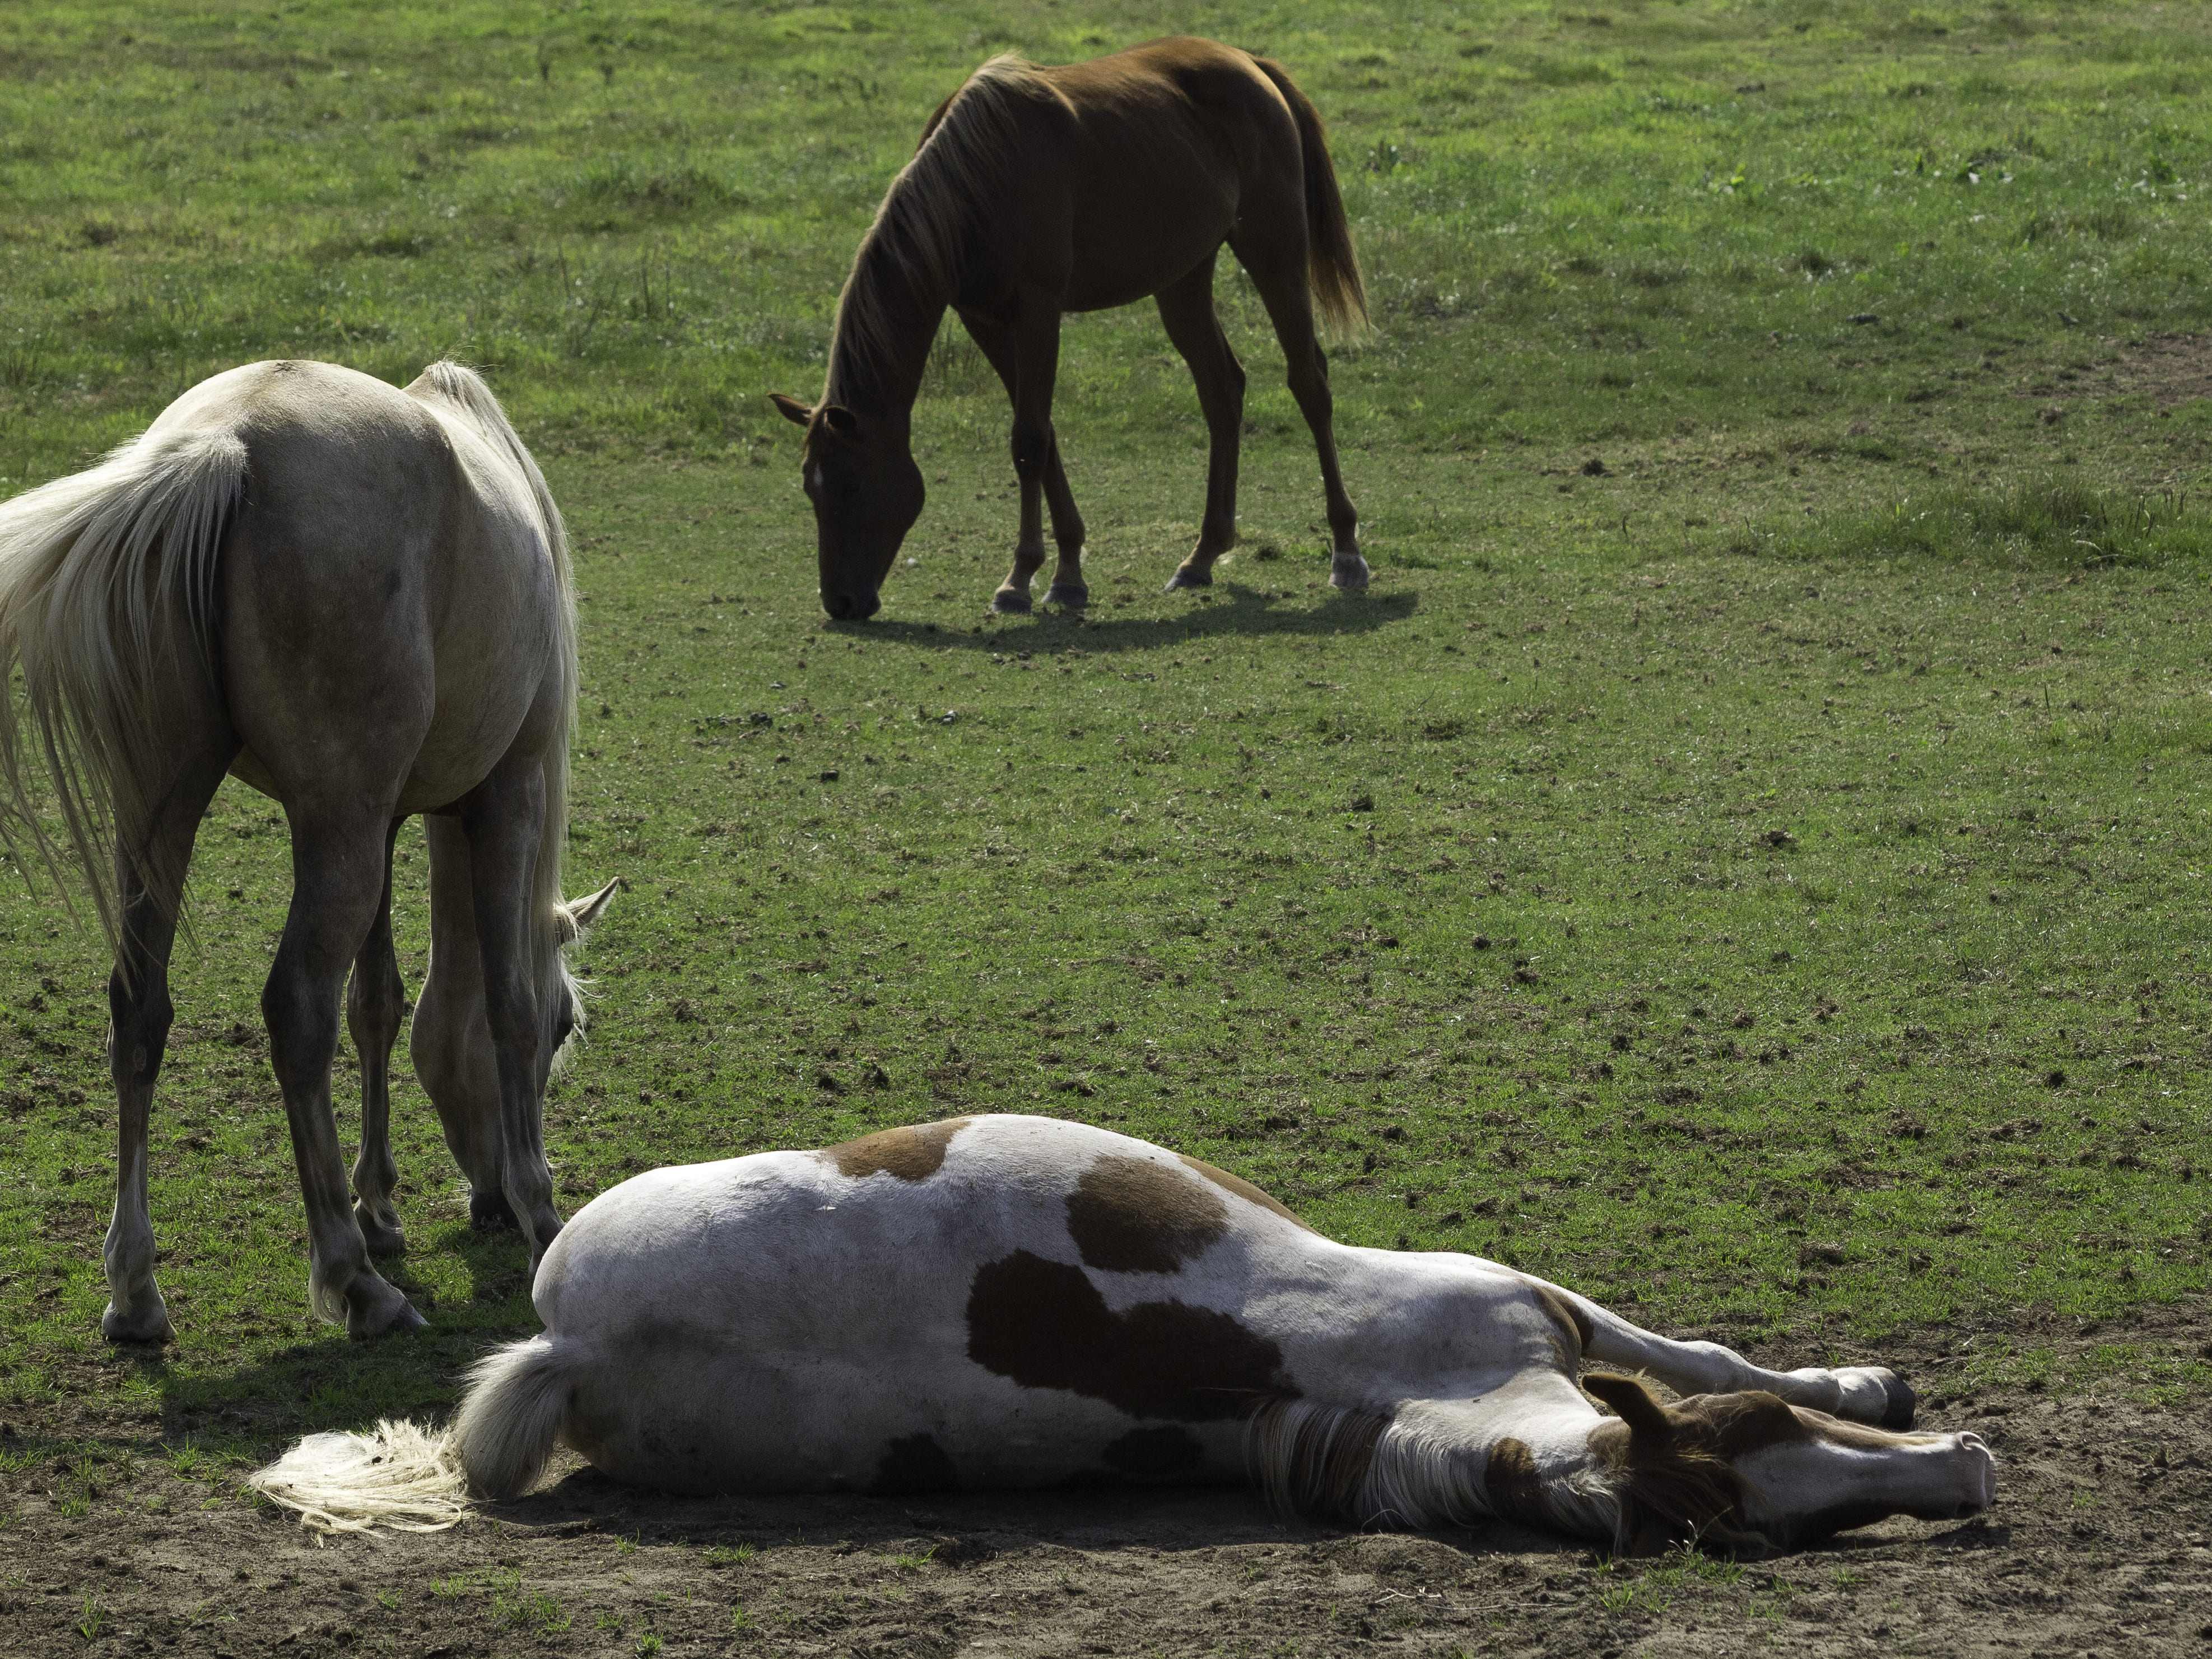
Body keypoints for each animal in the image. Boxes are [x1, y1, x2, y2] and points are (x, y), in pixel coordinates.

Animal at [0, 359, 618, 1341]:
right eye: (570, 1028)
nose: (486, 1200)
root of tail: (227, 445)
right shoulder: (506, 794)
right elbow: (505, 1005)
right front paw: (539, 1213)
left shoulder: (384, 816)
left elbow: (379, 1004)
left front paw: (383, 1204)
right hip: (335, 828)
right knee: (295, 1009)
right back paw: (353, 1278)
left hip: (176, 813)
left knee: (140, 1009)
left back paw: (136, 1289)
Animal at [250, 1115, 1995, 1552]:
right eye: (1756, 1466)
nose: (1971, 1471)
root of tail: (568, 1348)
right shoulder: (1526, 1296)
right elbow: (1704, 1357)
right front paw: (1862, 1376)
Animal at [769, 36, 1372, 622]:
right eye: (808, 487)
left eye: (851, 483)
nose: (840, 603)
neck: (976, 181)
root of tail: (1250, 62)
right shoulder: (984, 319)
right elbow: (1042, 433)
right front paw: (1065, 573)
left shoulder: (1038, 309)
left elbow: (1029, 439)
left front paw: (1021, 580)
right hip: (1182, 280)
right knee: (1221, 389)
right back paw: (1201, 556)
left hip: (1275, 250)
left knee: (1309, 383)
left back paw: (1346, 553)